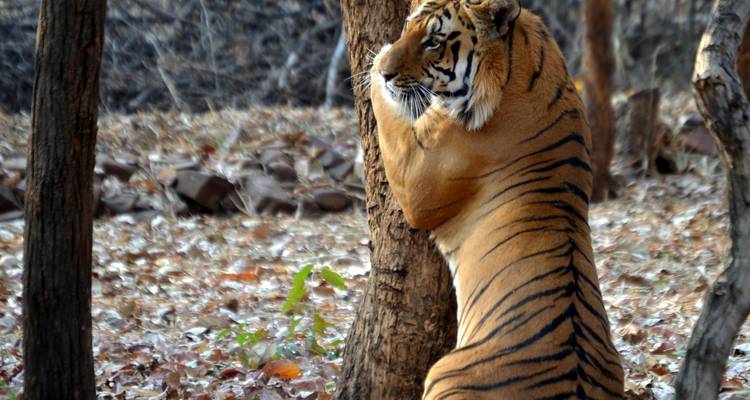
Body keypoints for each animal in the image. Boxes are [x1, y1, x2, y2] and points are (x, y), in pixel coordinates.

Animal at [369, 0, 625, 399]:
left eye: (433, 42)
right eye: (408, 27)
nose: (386, 73)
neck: (524, 60)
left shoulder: (415, 177)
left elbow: (387, 113)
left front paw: (375, 61)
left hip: (442, 373)